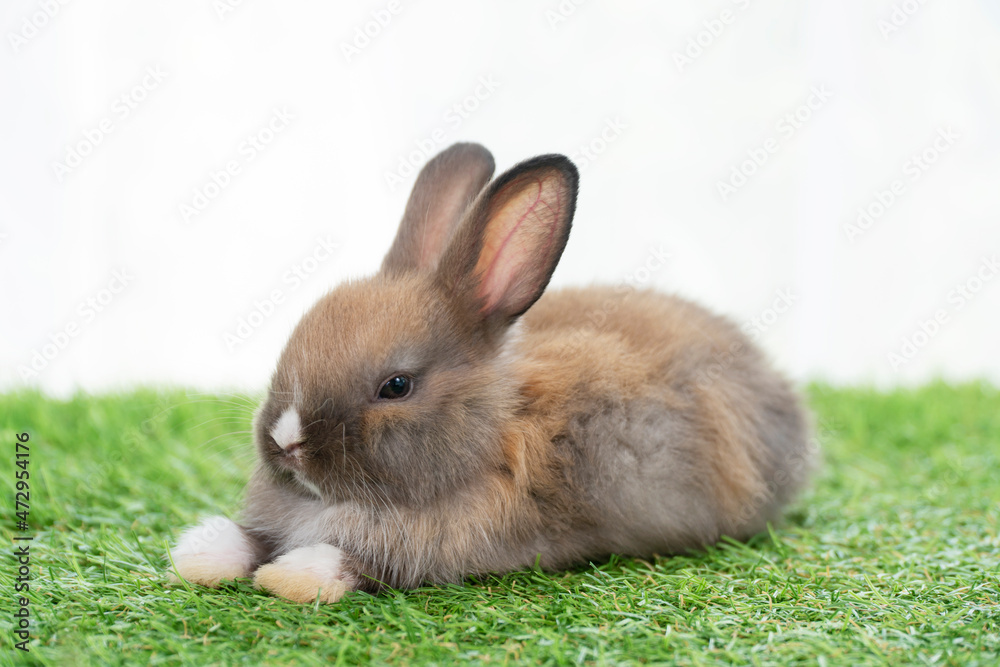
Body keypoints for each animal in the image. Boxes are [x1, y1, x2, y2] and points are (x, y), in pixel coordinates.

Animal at [167, 142, 813, 603]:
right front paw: (200, 556)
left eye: (396, 386)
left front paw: (288, 576)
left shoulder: (450, 547)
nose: (285, 441)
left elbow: (355, 564)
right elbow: (245, 538)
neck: (487, 435)